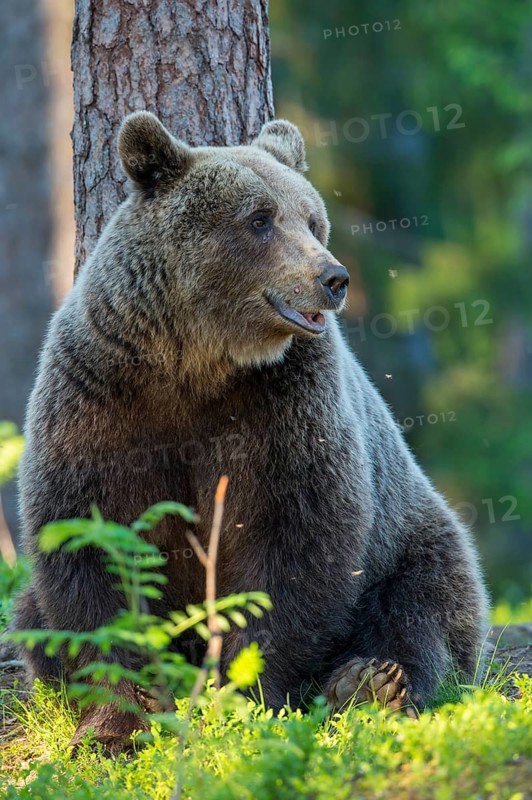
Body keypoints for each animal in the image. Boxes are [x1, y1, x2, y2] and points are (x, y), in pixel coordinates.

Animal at [14, 111, 488, 752]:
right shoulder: (99, 399)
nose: (333, 277)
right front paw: (116, 720)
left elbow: (294, 545)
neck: (195, 360)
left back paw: (371, 684)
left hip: (410, 537)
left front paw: (245, 698)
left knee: (421, 609)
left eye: (312, 218)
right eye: (260, 219)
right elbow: (90, 554)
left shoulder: (283, 409)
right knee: (31, 618)